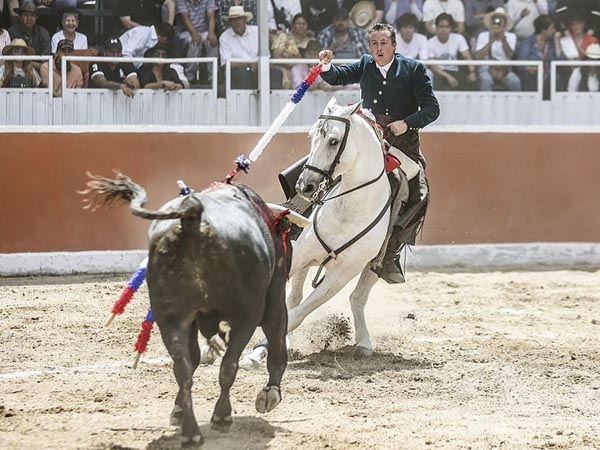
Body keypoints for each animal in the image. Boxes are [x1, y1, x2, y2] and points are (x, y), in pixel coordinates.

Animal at [81, 173, 292, 446]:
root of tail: (193, 216)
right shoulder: (273, 298)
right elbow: (276, 342)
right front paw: (270, 394)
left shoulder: (190, 319)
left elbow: (192, 359)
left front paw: (179, 410)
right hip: (246, 313)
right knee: (229, 365)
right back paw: (221, 417)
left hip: (170, 317)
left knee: (182, 369)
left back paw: (191, 432)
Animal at [240, 97, 408, 366]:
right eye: (311, 136)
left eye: (334, 141)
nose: (304, 185)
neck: (350, 208)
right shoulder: (300, 255)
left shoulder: (340, 276)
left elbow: (298, 314)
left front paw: (259, 351)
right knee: (294, 297)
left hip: (377, 264)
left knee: (357, 298)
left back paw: (363, 342)